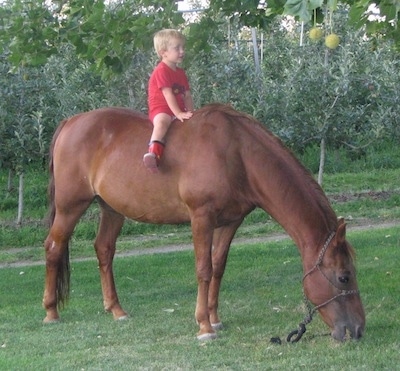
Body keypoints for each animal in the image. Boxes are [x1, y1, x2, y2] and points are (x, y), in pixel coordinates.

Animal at [42, 104, 364, 342]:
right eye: (344, 277)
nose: (358, 329)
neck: (237, 154)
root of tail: (71, 122)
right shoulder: (202, 218)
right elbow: (203, 269)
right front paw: (204, 327)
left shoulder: (229, 222)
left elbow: (218, 267)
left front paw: (215, 319)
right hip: (70, 207)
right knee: (54, 247)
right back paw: (51, 313)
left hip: (111, 209)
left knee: (104, 250)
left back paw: (116, 310)